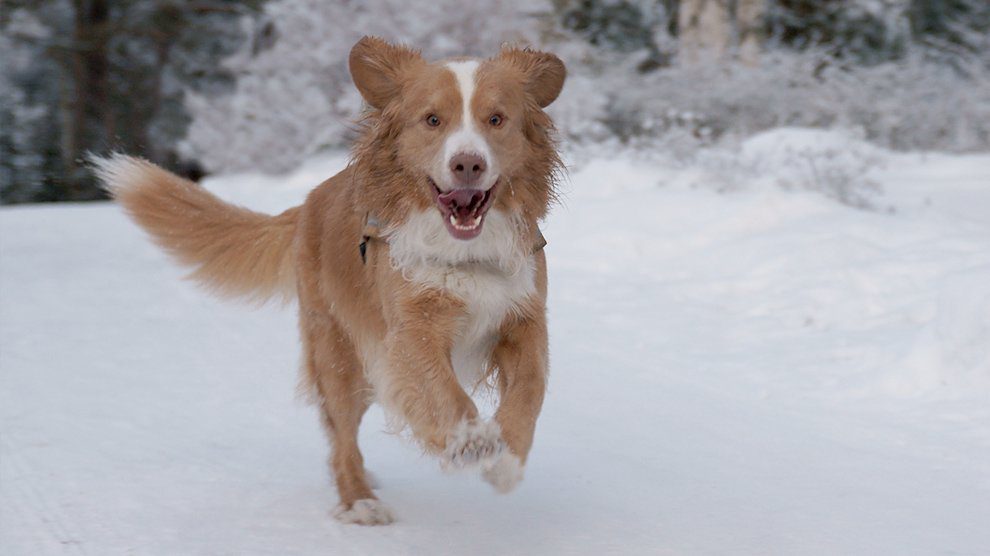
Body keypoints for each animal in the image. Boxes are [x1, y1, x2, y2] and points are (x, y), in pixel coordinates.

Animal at [93, 35, 564, 524]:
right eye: (433, 120)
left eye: (497, 119)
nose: (468, 164)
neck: (466, 253)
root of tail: (308, 203)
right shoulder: (409, 331)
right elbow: (440, 391)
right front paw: (470, 442)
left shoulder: (523, 318)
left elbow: (530, 389)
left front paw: (507, 462)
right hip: (338, 356)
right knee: (340, 438)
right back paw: (359, 498)